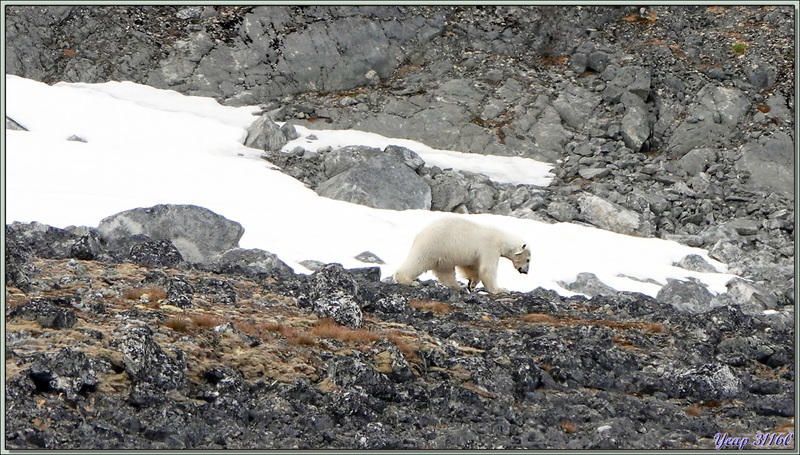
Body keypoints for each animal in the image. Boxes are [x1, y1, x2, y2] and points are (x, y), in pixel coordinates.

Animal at [394, 218, 532, 296]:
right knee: (418, 261)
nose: (525, 271)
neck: (502, 240)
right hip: (434, 245)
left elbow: (471, 267)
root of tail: (420, 234)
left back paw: (458, 286)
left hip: (443, 254)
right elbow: (487, 269)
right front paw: (501, 290)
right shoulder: (489, 247)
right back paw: (408, 280)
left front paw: (472, 284)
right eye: (528, 259)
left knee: (445, 271)